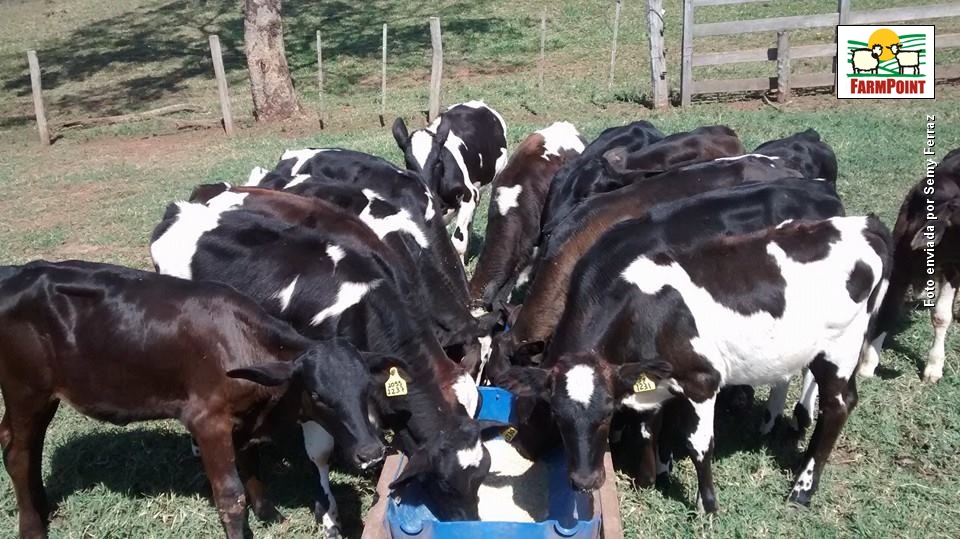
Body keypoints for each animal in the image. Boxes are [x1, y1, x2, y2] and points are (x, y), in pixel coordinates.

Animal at [0, 260, 385, 539]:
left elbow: (252, 463)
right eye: (318, 395)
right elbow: (230, 496)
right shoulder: (208, 421)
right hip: (26, 392)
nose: (372, 452)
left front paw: (269, 513)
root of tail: (15, 273)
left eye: (366, 388)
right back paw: (32, 528)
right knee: (19, 453)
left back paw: (42, 505)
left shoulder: (243, 420)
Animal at [150, 201, 500, 530]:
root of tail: (178, 211)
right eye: (445, 483)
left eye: (483, 472)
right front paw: (329, 515)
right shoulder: (311, 384)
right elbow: (319, 451)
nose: (470, 521)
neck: (363, 309)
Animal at [500, 215, 890, 513]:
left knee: (838, 406)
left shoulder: (702, 381)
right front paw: (654, 475)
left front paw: (707, 505)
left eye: (607, 413)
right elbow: (648, 431)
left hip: (840, 348)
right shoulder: (652, 385)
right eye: (557, 415)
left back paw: (803, 489)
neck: (644, 312)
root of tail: (863, 224)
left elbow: (699, 445)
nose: (584, 481)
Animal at [860, 148, 960, 383]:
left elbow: (941, 316)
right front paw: (868, 365)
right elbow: (888, 311)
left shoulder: (953, 272)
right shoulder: (899, 267)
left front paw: (934, 366)